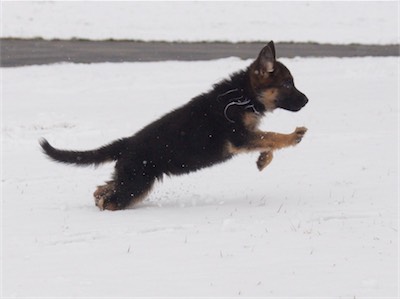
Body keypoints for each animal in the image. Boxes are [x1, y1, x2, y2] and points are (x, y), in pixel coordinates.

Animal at [39, 41, 310, 211]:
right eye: (288, 84)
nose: (307, 100)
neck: (242, 95)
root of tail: (127, 143)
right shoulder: (238, 137)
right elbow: (272, 136)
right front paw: (293, 136)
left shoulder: (246, 135)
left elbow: (267, 140)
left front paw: (263, 160)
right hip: (137, 182)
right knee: (111, 202)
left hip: (130, 179)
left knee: (103, 189)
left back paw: (99, 195)